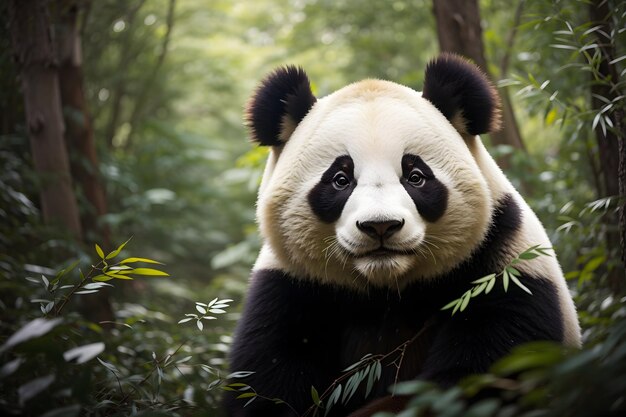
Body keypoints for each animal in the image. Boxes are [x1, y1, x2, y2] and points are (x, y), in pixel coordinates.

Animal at [222, 52, 576, 416]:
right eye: (340, 179)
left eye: (415, 176)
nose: (380, 225)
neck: (388, 289)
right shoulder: (292, 284)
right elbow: (265, 381)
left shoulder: (503, 268)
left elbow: (476, 380)